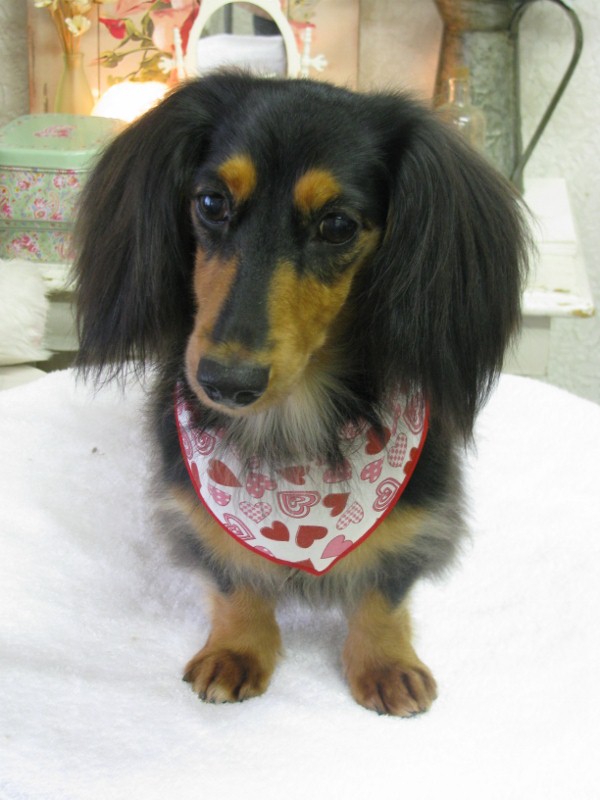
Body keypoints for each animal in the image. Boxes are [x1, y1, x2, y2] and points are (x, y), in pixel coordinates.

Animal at [75, 72, 529, 717]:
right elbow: (234, 577)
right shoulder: (201, 509)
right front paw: (238, 648)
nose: (225, 382)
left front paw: (385, 661)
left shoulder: (419, 508)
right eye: (211, 203)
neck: (291, 416)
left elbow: (386, 588)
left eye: (338, 225)